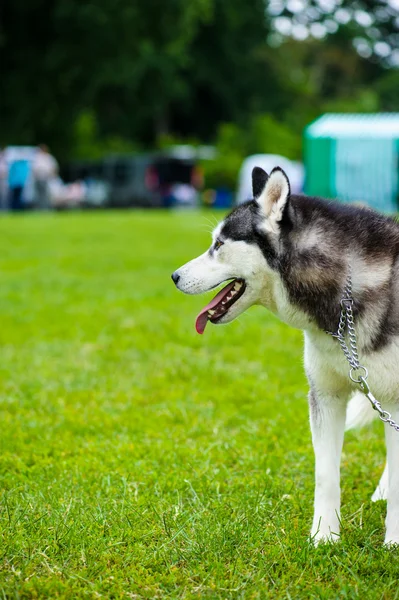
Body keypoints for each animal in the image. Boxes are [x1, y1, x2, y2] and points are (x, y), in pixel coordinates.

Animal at [173, 166, 399, 548]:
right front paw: (324, 537)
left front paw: (393, 541)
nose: (174, 276)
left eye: (219, 245)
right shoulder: (326, 396)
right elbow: (326, 474)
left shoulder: (394, 399)